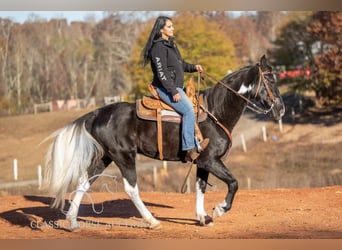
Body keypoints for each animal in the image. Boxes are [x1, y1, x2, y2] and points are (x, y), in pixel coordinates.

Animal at [45, 54, 286, 230]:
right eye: (270, 80)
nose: (281, 109)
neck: (216, 111)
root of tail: (97, 113)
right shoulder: (211, 160)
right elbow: (233, 183)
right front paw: (219, 209)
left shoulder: (202, 162)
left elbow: (200, 187)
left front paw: (202, 217)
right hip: (124, 157)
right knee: (131, 188)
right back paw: (152, 221)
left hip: (105, 157)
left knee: (84, 182)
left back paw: (73, 222)